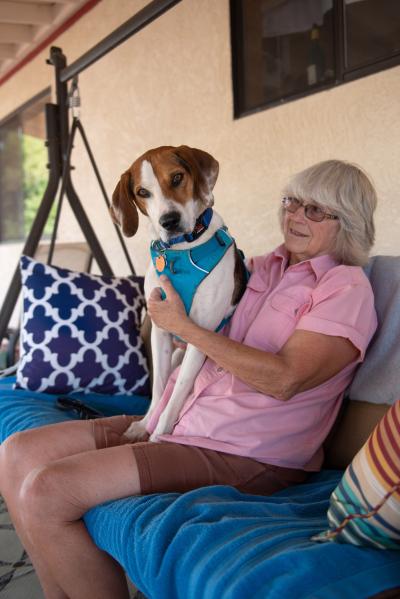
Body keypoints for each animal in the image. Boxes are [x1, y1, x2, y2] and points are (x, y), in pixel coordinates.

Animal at [110, 145, 247, 442]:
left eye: (176, 178)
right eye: (142, 192)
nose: (169, 221)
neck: (182, 252)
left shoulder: (201, 336)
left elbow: (177, 392)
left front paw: (158, 435)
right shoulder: (161, 332)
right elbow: (160, 388)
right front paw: (145, 424)